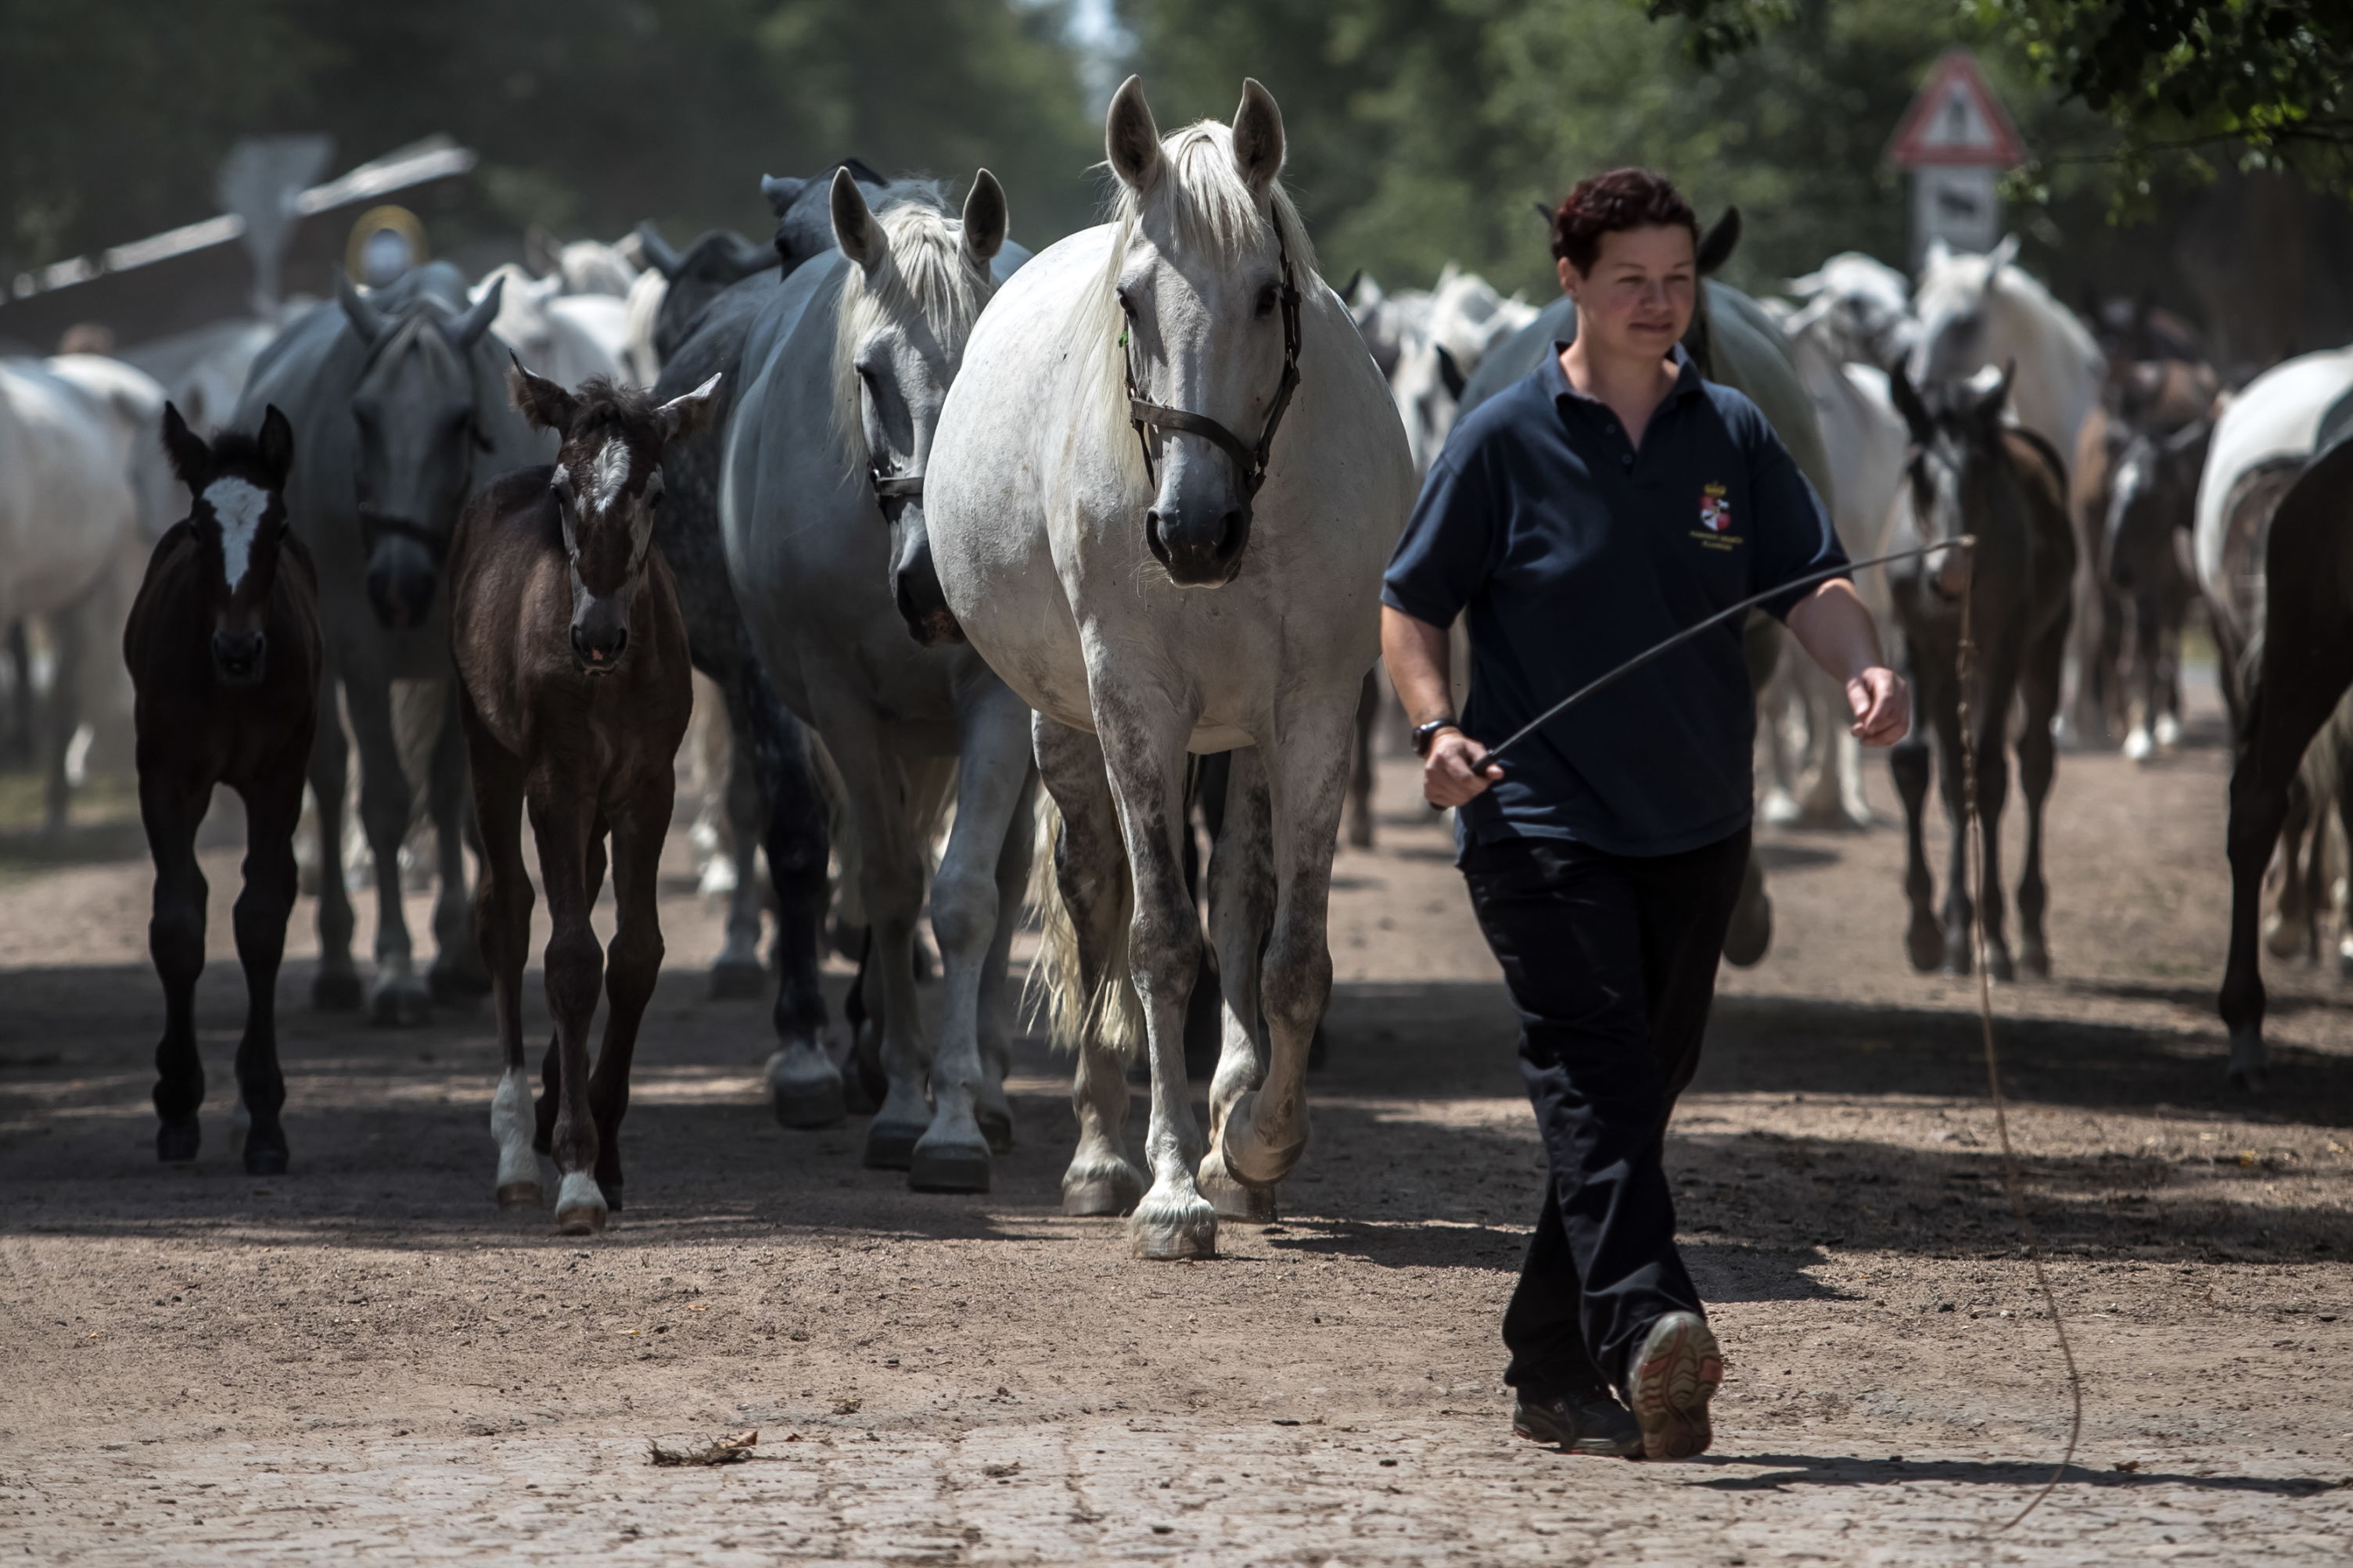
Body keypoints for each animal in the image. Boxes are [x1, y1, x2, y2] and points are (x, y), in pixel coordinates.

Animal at [232, 263, 545, 1024]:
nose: (399, 583)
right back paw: (339, 961)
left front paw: (463, 955)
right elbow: (384, 802)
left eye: (460, 421)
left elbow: (453, 789)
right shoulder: (362, 655)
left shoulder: (465, 661)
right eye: (364, 417)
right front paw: (398, 968)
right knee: (329, 778)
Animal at [449, 368, 715, 1241]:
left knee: (585, 893)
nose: (595, 635)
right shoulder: (556, 783)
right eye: (565, 491)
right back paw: (513, 1148)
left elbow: (632, 956)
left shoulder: (647, 788)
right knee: (506, 912)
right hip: (489, 754)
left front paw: (607, 1150)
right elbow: (568, 959)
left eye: (655, 492)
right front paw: (575, 1170)